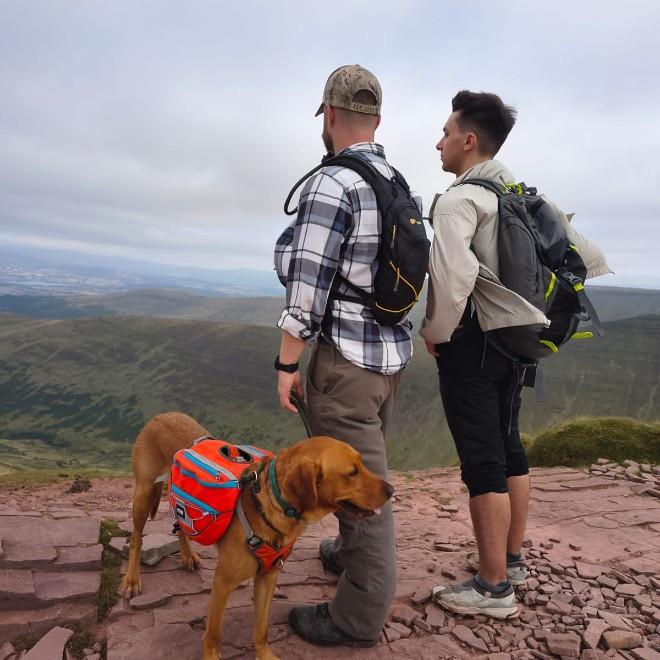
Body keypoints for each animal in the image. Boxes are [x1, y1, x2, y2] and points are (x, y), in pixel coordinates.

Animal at [120, 412, 394, 660]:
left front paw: (264, 654)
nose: (391, 489)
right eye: (352, 472)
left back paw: (187, 554)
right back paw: (132, 579)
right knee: (136, 539)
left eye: (362, 464)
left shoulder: (268, 576)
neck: (275, 506)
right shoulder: (223, 581)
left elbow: (261, 628)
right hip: (144, 494)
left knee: (179, 523)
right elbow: (213, 633)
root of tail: (160, 416)